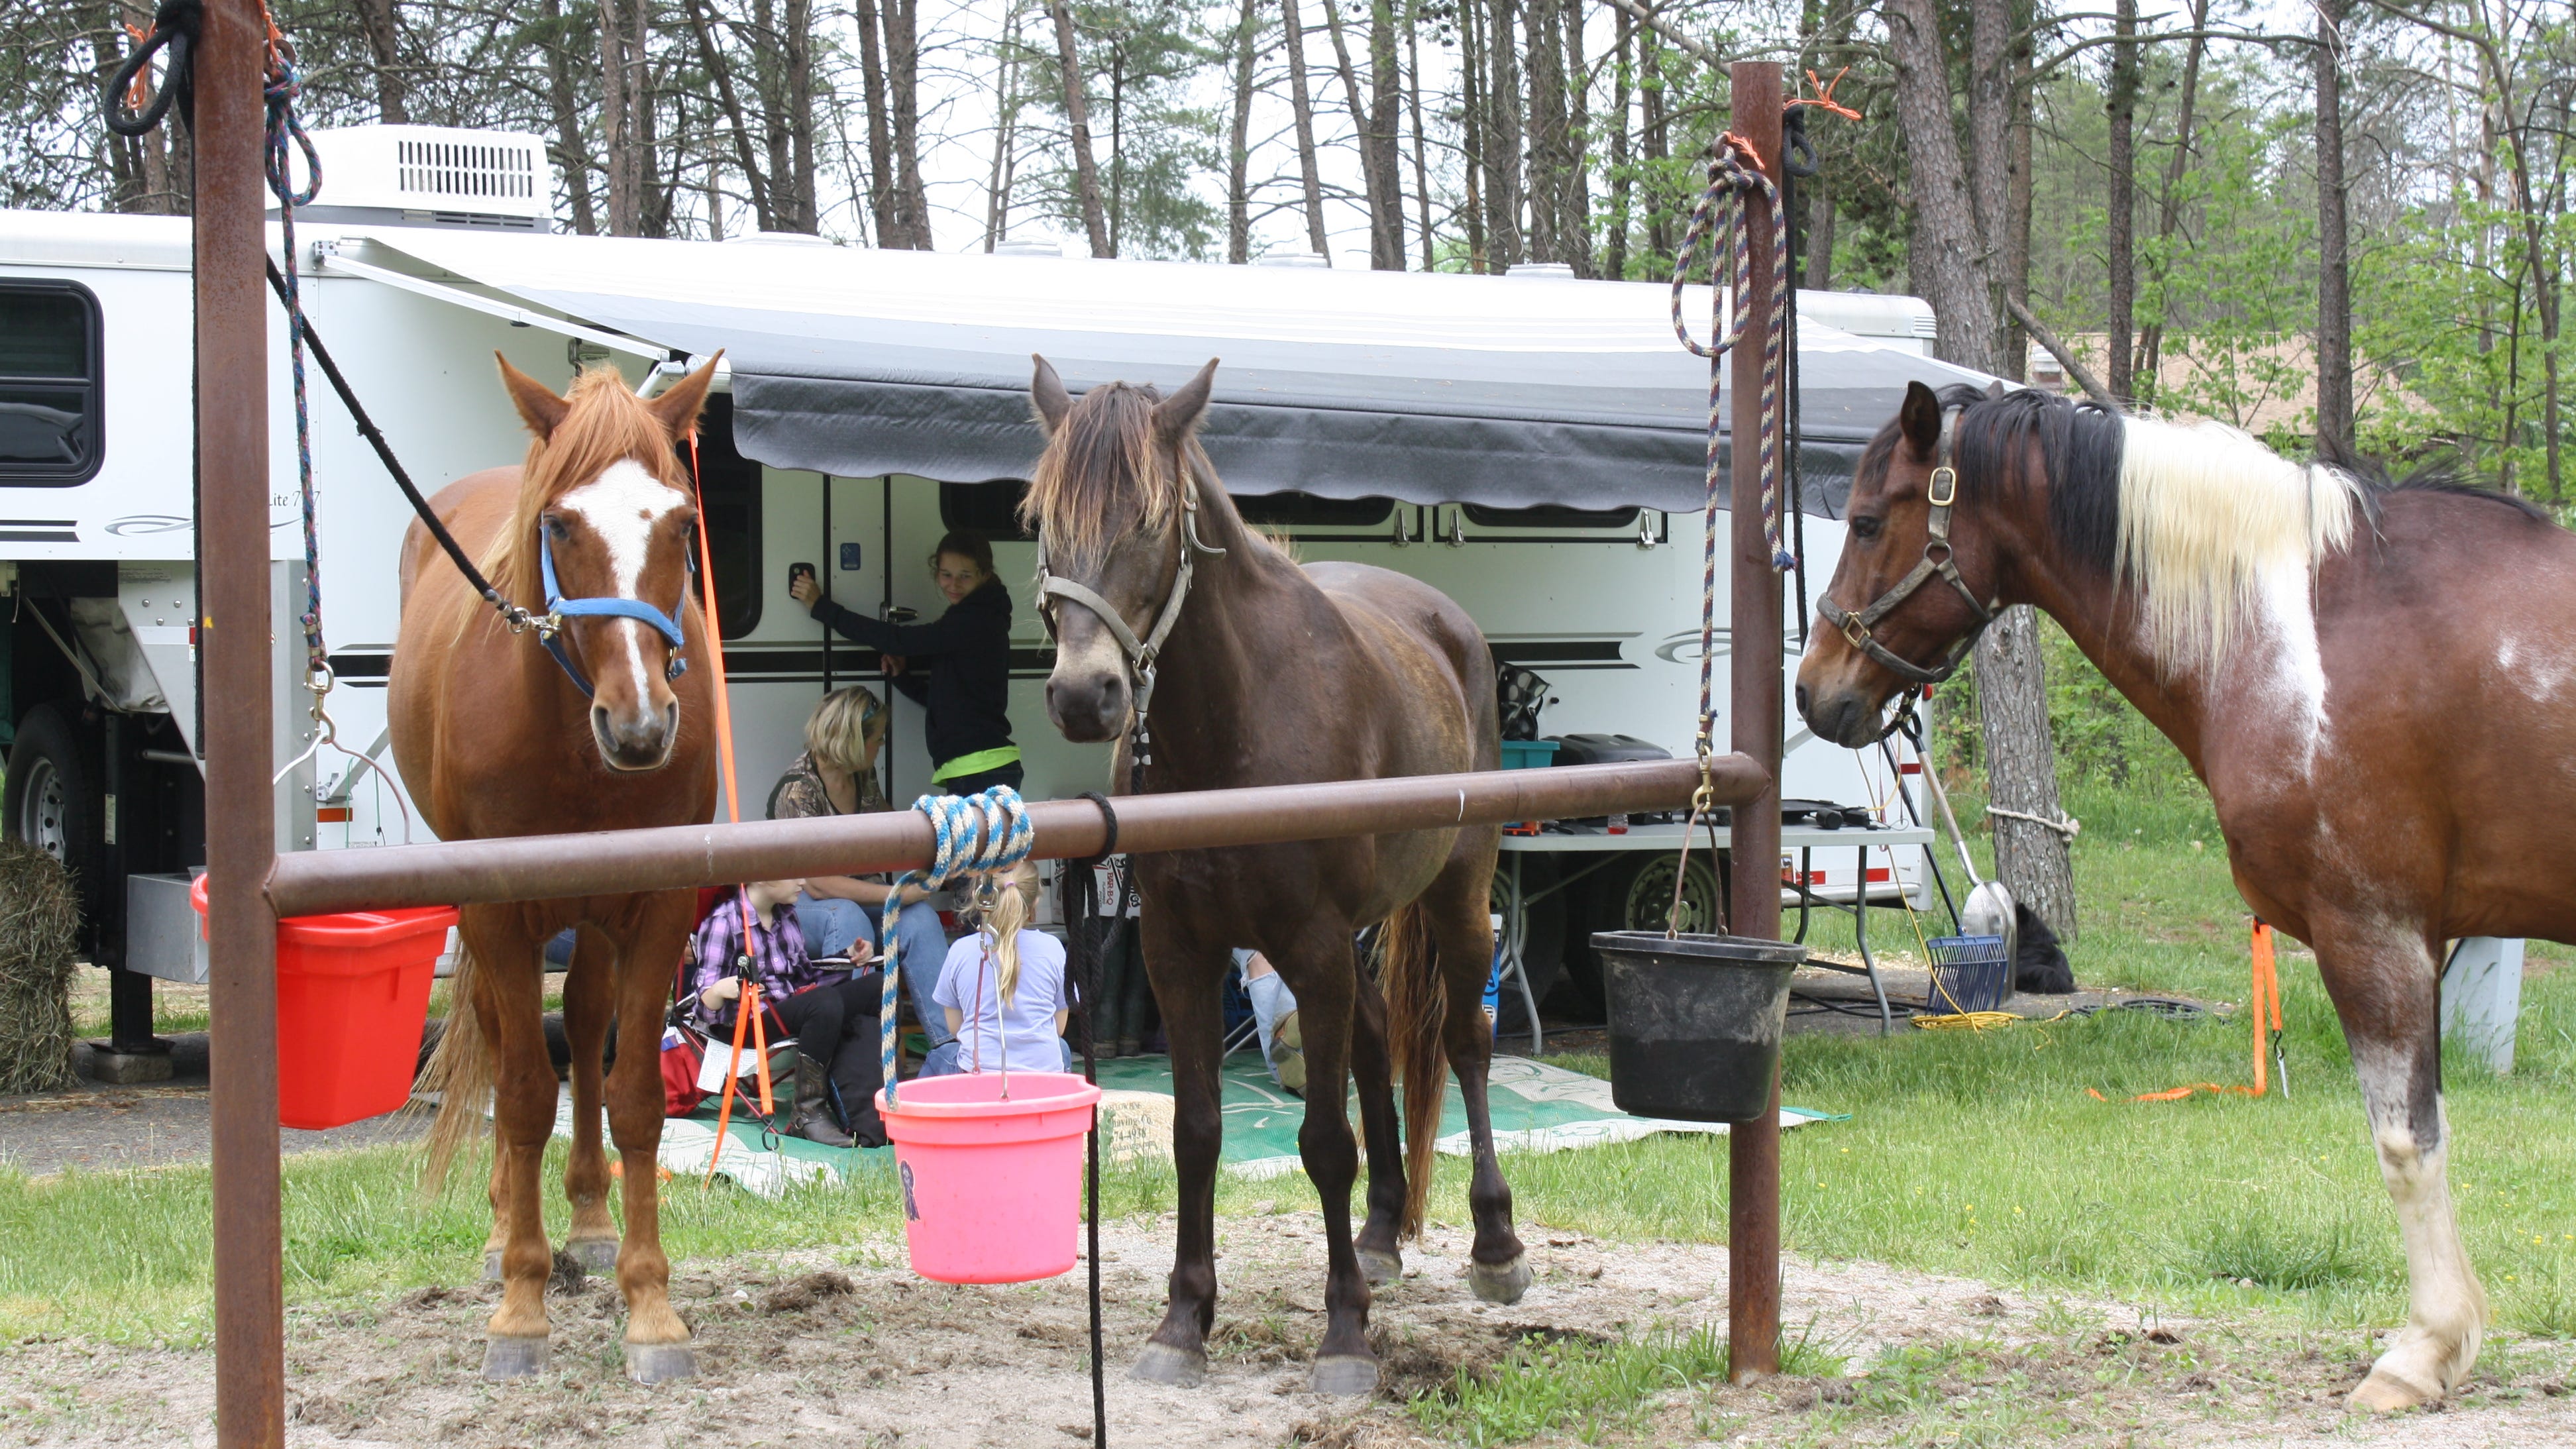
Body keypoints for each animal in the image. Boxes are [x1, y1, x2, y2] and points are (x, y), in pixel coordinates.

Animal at [386, 353, 726, 1371]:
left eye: (682, 523)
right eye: (561, 524)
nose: (641, 725)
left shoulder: (656, 907)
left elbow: (636, 1097)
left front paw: (650, 1304)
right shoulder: (498, 912)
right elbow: (526, 1094)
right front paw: (521, 1303)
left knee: (582, 1021)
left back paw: (588, 1224)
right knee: (507, 1043)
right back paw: (512, 1230)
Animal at [1014, 350, 1515, 1392]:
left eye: (1150, 519)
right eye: (1042, 520)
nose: (1086, 695)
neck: (1232, 725)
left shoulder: (1310, 941)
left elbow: (1324, 1140)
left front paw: (1345, 1335)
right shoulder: (1180, 948)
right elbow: (1196, 1129)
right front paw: (1182, 1320)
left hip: (1457, 893)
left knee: (1465, 1041)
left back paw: (1496, 1244)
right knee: (1376, 1036)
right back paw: (1380, 1234)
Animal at [1793, 379, 2576, 1402]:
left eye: (1864, 520)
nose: (1814, 690)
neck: (2303, 631)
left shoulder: (2375, 931)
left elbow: (2407, 1143)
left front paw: (2421, 1351)